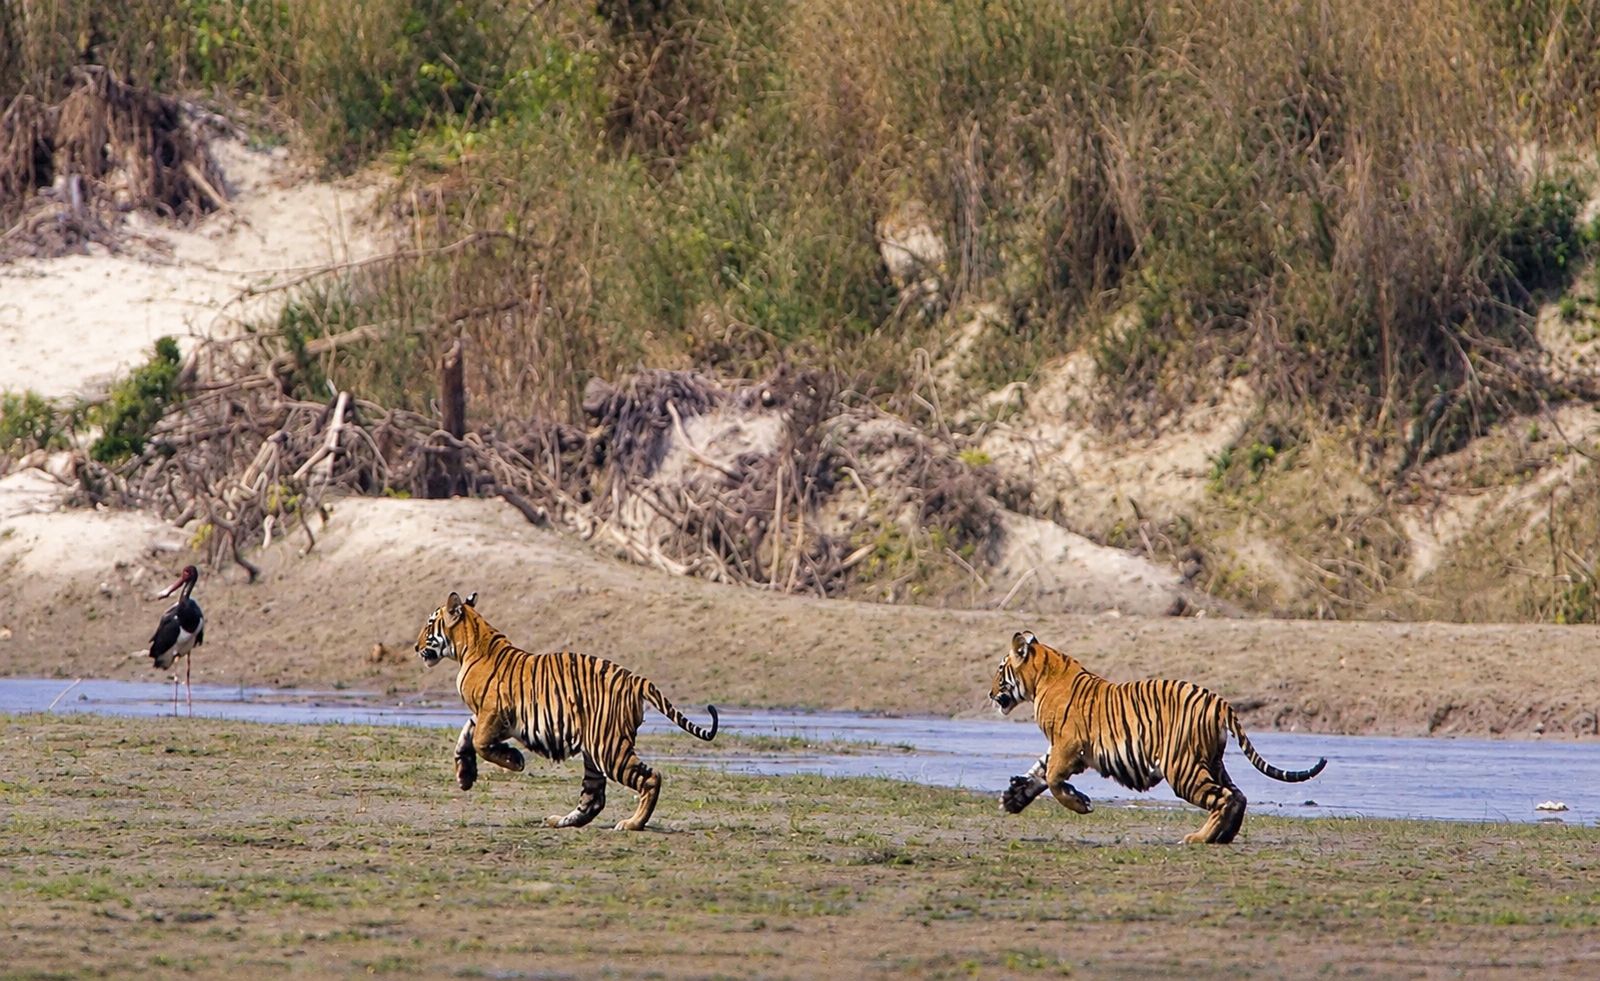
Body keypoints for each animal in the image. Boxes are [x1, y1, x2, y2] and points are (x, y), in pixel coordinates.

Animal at [415, 591, 719, 831]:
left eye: (430, 624)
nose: (416, 647)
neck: (471, 645)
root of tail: (635, 679)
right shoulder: (483, 714)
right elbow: (465, 737)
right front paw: (465, 776)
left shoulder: (493, 711)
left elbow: (479, 741)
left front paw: (514, 760)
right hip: (595, 751)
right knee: (594, 798)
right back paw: (560, 821)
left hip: (608, 748)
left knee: (650, 778)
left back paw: (632, 824)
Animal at [990, 629, 1326, 844]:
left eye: (1000, 671)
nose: (991, 694)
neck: (1042, 676)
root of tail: (1218, 701)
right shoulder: (1060, 747)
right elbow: (1039, 771)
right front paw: (1013, 799)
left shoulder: (1068, 745)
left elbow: (1054, 779)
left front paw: (1080, 803)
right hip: (1209, 761)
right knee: (1238, 796)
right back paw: (1223, 837)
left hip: (1182, 767)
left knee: (1225, 798)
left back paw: (1199, 838)